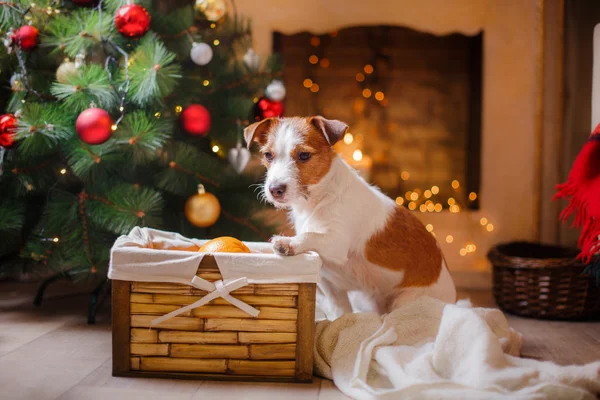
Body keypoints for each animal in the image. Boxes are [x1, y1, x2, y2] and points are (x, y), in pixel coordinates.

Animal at [244, 115, 454, 318]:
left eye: (304, 155)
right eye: (268, 155)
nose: (274, 190)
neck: (318, 199)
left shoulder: (337, 242)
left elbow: (311, 235)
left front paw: (288, 243)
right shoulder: (329, 282)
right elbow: (341, 312)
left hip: (406, 301)